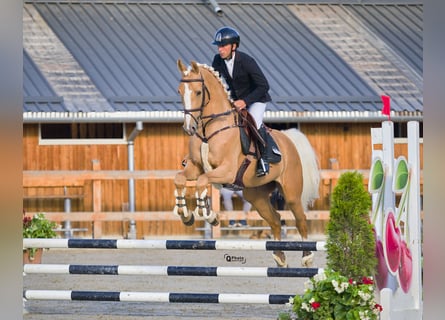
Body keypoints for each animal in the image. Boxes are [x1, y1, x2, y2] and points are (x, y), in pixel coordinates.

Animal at [173, 60, 320, 268]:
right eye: (180, 91)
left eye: (198, 92)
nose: (189, 128)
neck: (210, 129)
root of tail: (288, 140)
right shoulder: (194, 167)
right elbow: (179, 179)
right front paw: (185, 214)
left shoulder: (226, 171)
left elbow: (202, 181)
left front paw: (209, 215)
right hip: (255, 196)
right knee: (276, 220)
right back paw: (279, 257)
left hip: (291, 193)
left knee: (301, 219)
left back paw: (307, 257)